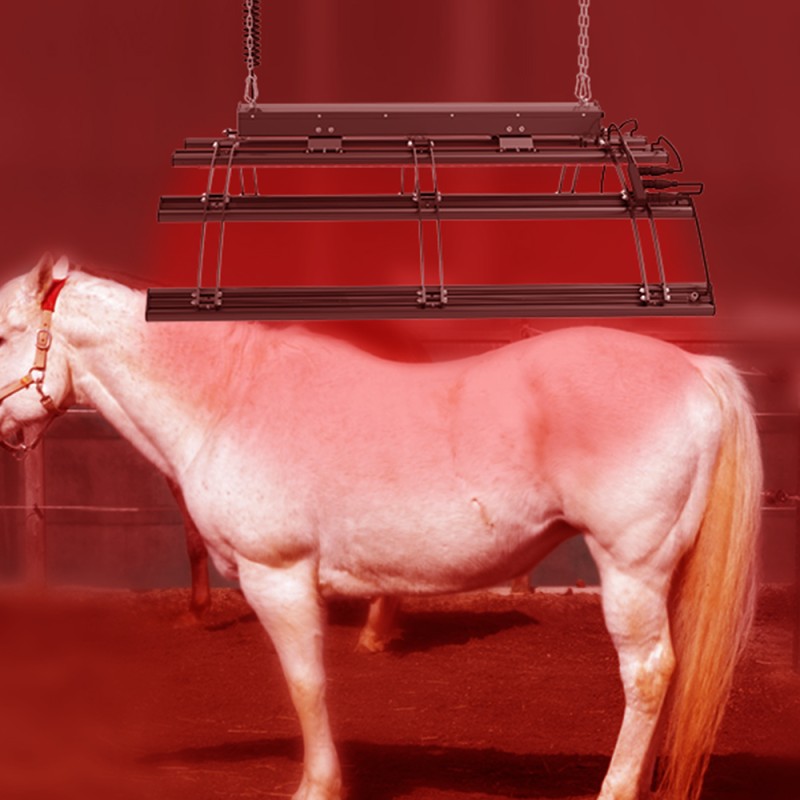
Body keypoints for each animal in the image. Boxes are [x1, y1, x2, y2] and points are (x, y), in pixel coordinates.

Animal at [0, 254, 762, 800]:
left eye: (5, 332)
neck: (228, 398)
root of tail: (696, 369)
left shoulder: (278, 577)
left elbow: (305, 684)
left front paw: (317, 787)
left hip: (630, 569)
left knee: (648, 674)